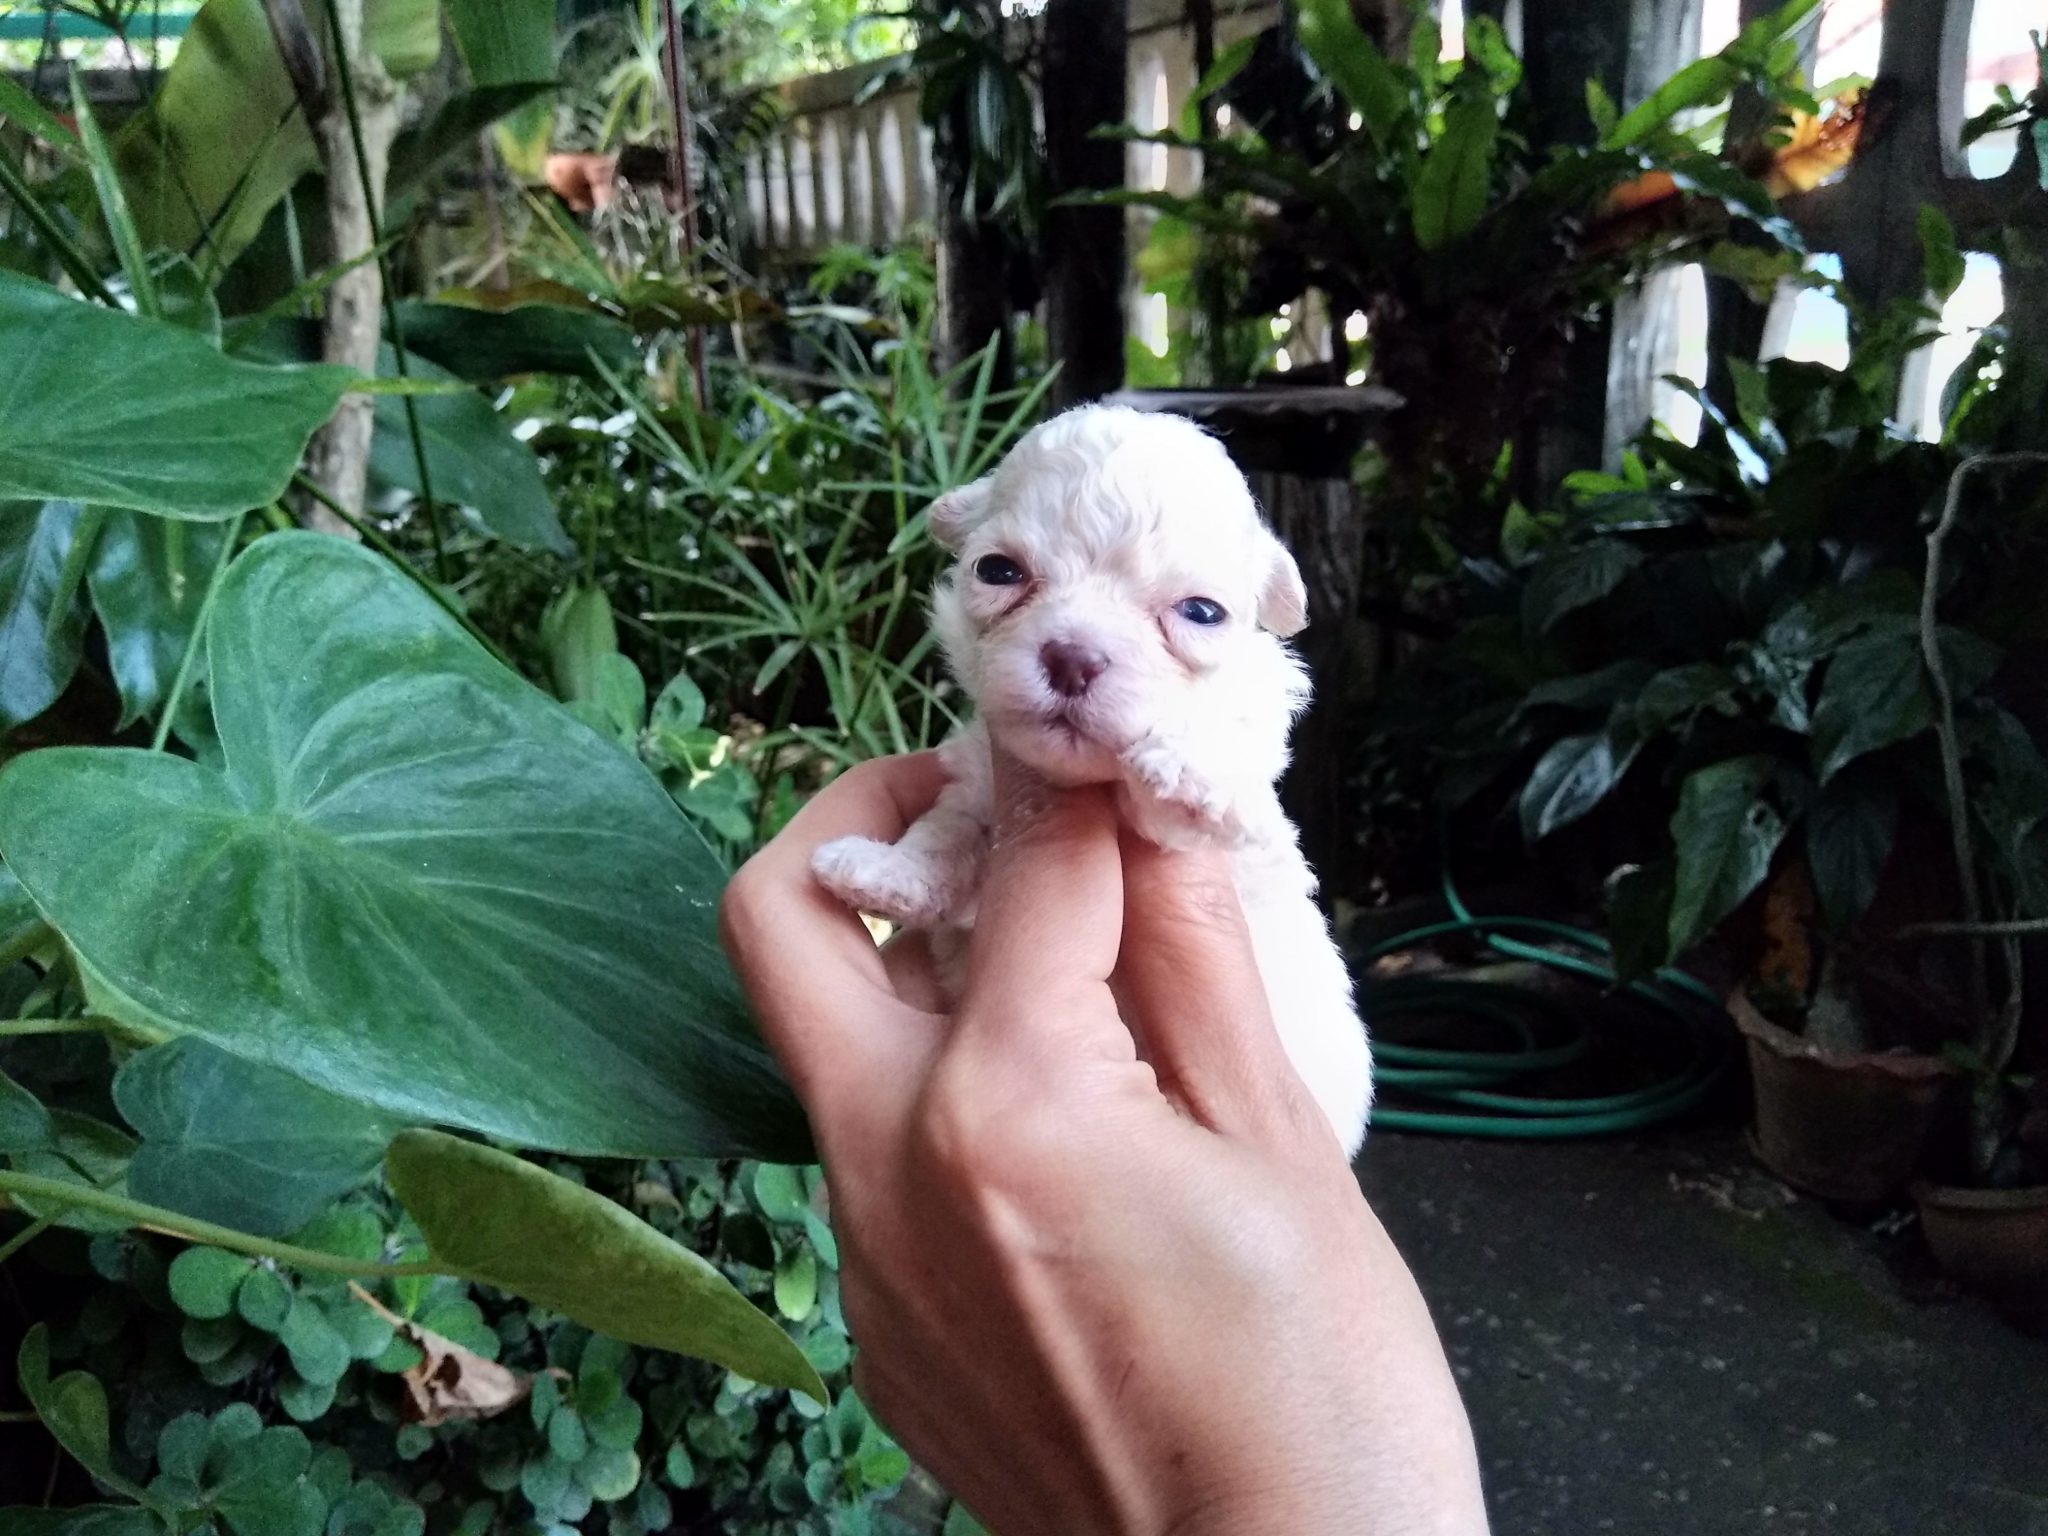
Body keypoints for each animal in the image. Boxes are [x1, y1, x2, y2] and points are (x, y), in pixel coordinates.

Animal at [811, 404, 1372, 1154]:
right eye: (997, 570)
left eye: (1202, 612)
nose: (1072, 657)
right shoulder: (977, 783)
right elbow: (945, 834)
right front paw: (883, 874)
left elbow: (1191, 785)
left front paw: (1186, 759)